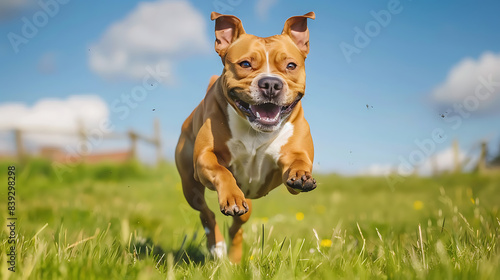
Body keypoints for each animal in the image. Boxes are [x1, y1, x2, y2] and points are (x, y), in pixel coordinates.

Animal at [176, 10, 316, 264]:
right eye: (245, 64)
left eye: (291, 65)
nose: (271, 83)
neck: (255, 131)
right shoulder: (204, 158)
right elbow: (221, 171)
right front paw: (231, 197)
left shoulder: (293, 160)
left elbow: (298, 163)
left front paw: (301, 175)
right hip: (190, 186)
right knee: (206, 214)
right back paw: (217, 246)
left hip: (246, 202)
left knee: (237, 225)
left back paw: (234, 256)